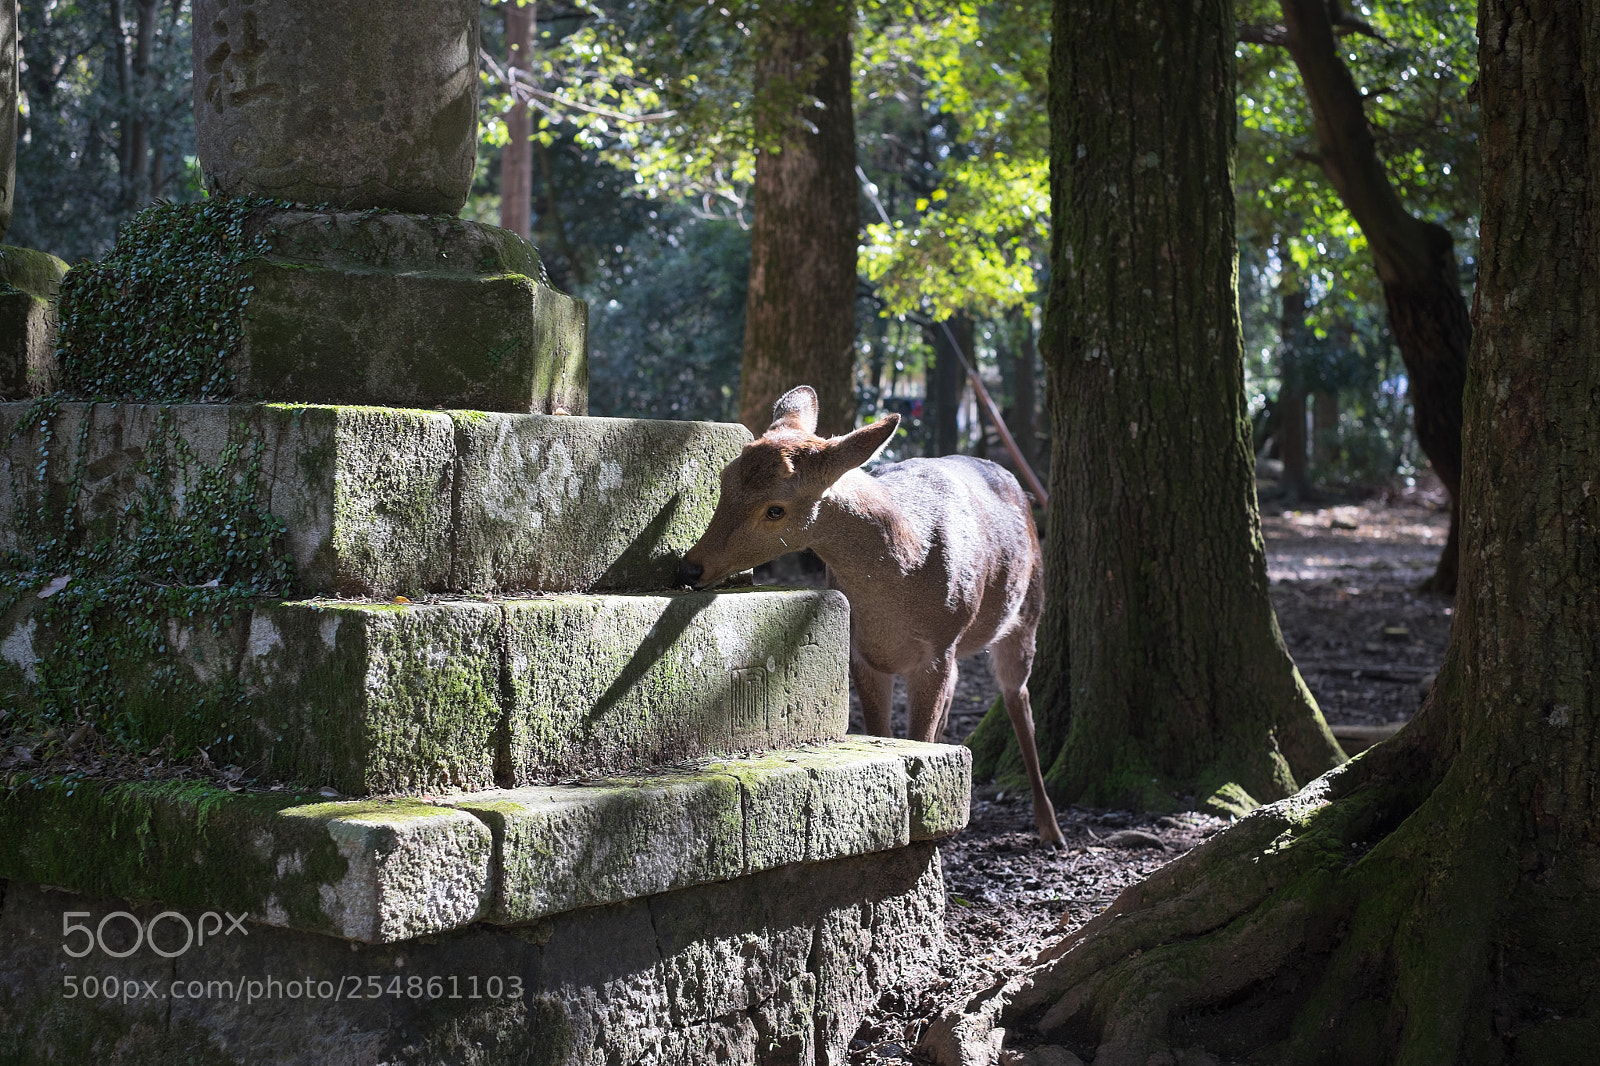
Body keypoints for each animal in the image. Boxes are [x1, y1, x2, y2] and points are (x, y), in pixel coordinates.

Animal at [677, 385, 1066, 846]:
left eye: (776, 509)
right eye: (725, 478)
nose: (690, 567)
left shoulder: (938, 647)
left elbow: (920, 738)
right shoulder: (863, 654)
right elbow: (886, 733)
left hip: (1027, 612)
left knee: (1017, 698)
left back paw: (1051, 828)